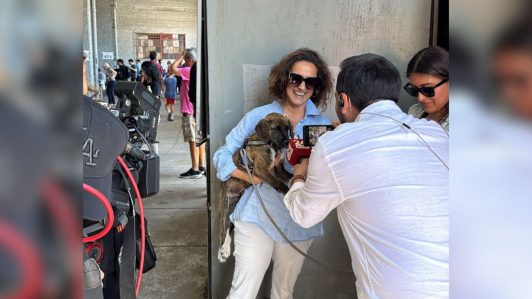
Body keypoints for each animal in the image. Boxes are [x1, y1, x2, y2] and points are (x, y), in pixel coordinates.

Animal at [217, 113, 294, 262]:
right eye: (276, 128)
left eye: (287, 128)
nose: (287, 142)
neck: (269, 143)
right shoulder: (261, 169)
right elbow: (278, 183)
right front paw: (287, 192)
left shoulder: (279, 169)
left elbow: (290, 176)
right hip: (224, 204)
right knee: (222, 228)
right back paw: (222, 251)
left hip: (237, 202)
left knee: (231, 224)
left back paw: (230, 249)